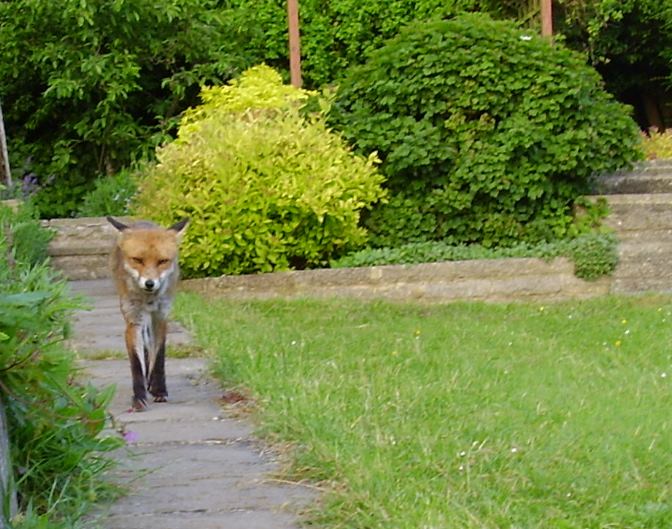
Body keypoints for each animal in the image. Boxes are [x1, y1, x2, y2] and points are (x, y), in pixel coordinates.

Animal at [107, 216, 189, 412]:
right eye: (137, 260)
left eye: (162, 261)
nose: (150, 283)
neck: (149, 300)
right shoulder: (133, 320)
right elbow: (137, 363)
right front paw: (139, 397)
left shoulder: (161, 317)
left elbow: (158, 357)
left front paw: (159, 390)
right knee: (144, 347)